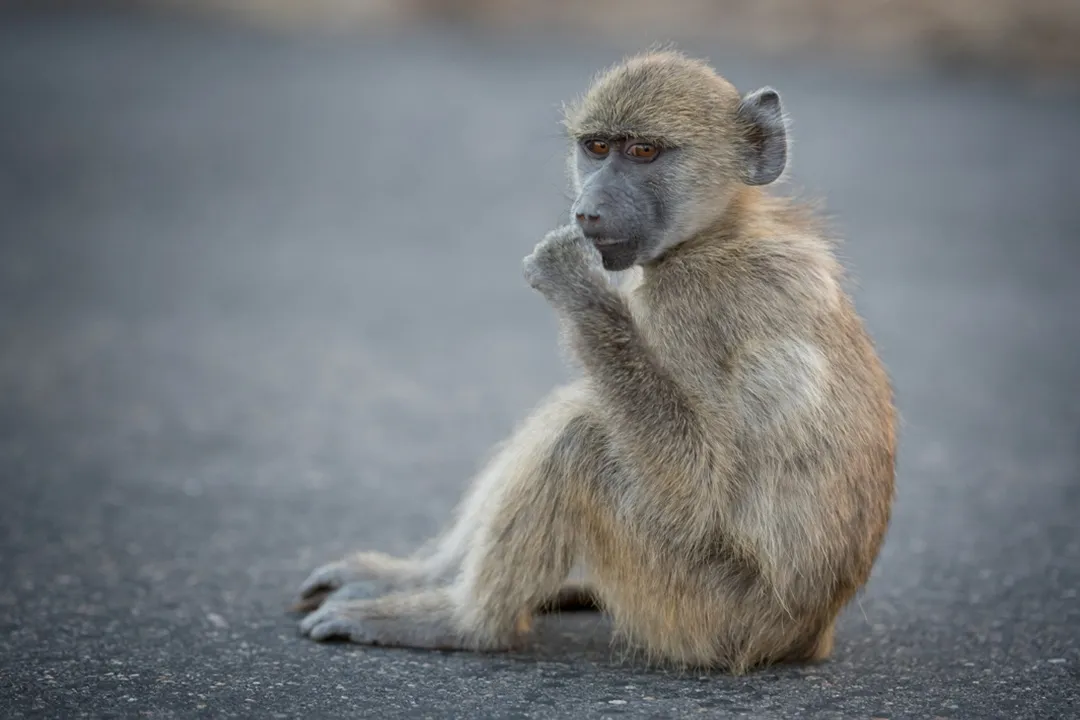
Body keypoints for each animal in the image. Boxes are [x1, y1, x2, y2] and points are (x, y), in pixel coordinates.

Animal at [292, 49, 896, 673]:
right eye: (597, 148)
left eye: (644, 151)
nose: (587, 212)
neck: (719, 231)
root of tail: (806, 636)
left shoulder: (690, 306)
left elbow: (696, 492)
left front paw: (571, 280)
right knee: (578, 409)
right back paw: (415, 579)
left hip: (699, 616)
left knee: (579, 440)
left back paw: (463, 624)